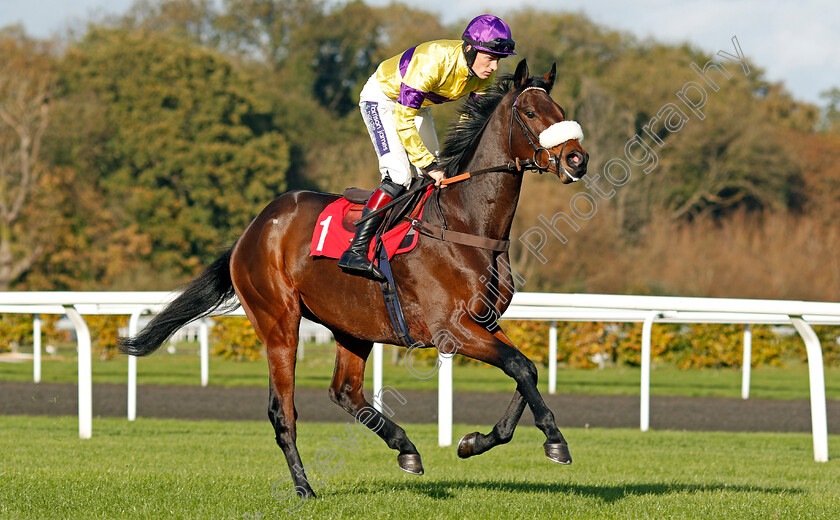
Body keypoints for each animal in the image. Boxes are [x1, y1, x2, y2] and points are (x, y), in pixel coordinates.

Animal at [120, 59, 592, 498]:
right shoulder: (451, 330)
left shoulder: (486, 322)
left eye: (561, 110)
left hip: (353, 324)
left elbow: (527, 370)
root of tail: (254, 228)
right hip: (279, 323)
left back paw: (406, 448)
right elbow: (519, 366)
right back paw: (304, 488)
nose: (577, 158)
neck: (465, 224)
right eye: (530, 112)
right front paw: (555, 440)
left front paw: (475, 441)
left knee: (345, 391)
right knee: (282, 411)